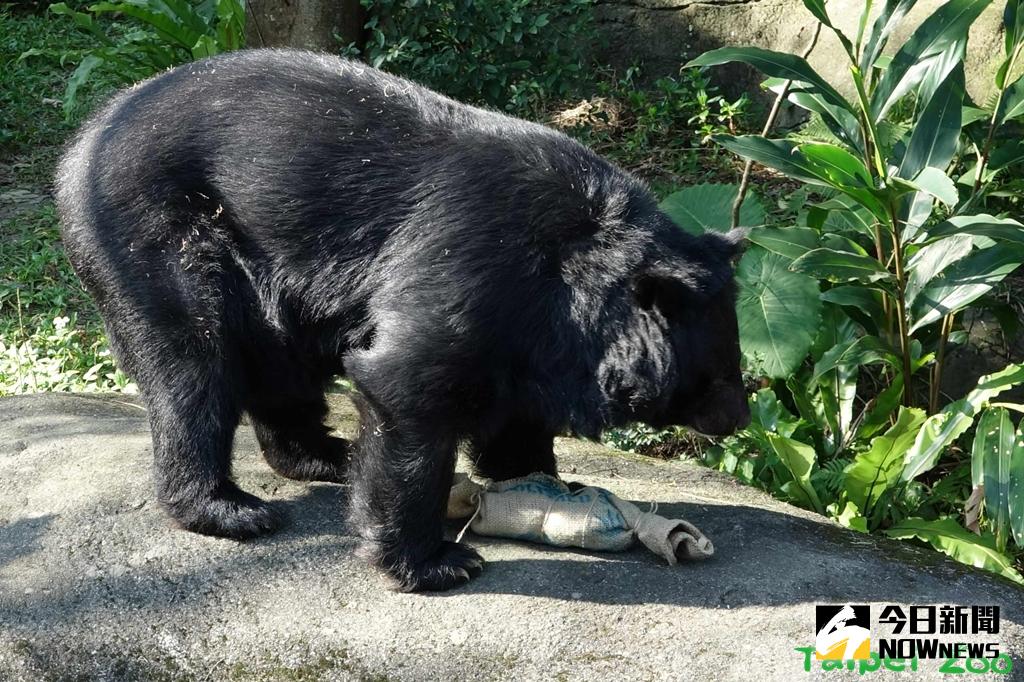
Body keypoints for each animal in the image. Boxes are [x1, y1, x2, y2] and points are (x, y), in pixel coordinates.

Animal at [55, 49, 750, 592]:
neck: (578, 270)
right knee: (194, 365)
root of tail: (84, 140)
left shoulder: (531, 327)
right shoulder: (471, 265)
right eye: (719, 376)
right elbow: (409, 387)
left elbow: (515, 402)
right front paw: (437, 563)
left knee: (275, 367)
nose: (738, 419)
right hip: (156, 237)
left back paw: (327, 455)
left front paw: (537, 479)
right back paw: (231, 509)